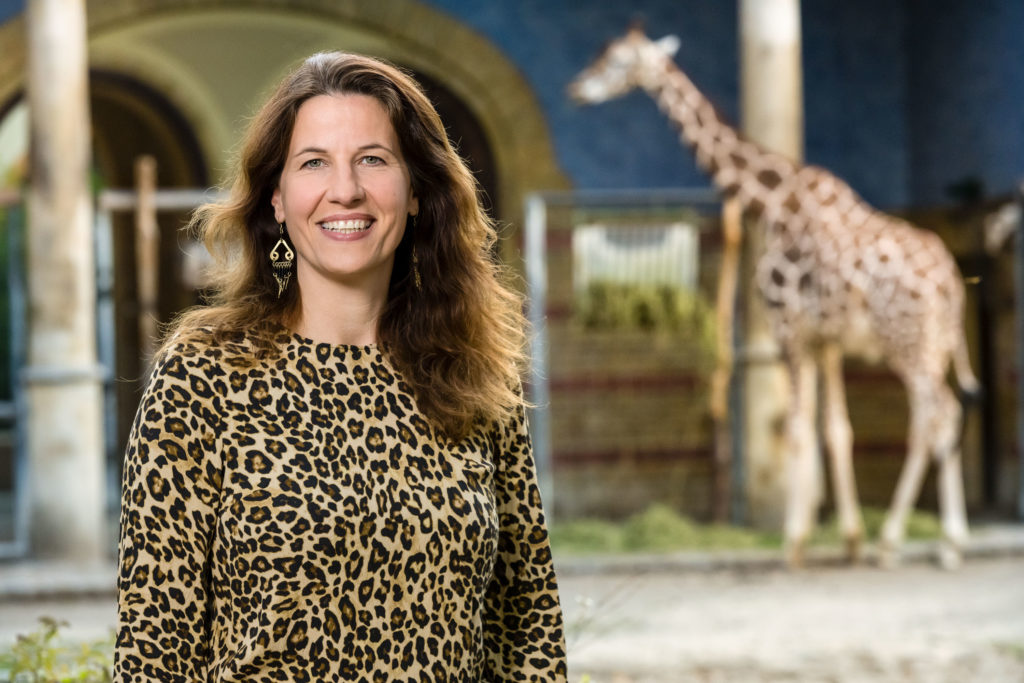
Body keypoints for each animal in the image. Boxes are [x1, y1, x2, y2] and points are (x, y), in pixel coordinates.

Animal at [568, 25, 980, 569]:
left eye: (616, 61)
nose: (577, 88)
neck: (772, 204)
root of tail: (951, 283)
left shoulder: (788, 327)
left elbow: (798, 429)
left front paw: (793, 542)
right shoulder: (825, 341)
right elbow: (837, 431)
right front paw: (849, 539)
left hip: (908, 342)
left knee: (941, 415)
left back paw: (930, 541)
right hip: (933, 345)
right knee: (934, 420)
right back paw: (912, 541)